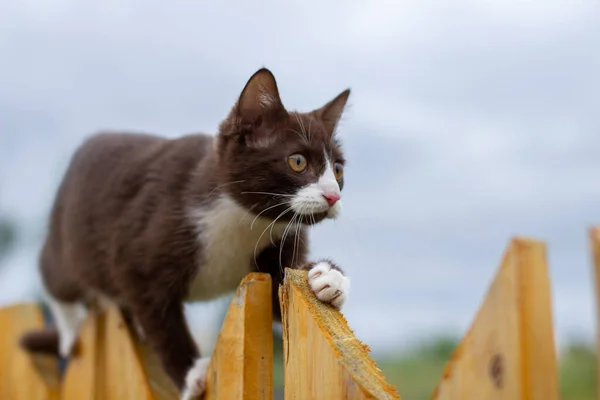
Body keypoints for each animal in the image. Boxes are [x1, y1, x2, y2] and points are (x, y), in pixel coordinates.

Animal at [19, 67, 352, 398]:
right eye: (297, 161)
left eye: (337, 170)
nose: (333, 196)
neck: (242, 221)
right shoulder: (137, 248)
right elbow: (159, 317)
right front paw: (191, 373)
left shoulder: (280, 239)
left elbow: (280, 294)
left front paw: (327, 277)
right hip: (67, 238)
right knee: (55, 276)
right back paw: (71, 328)